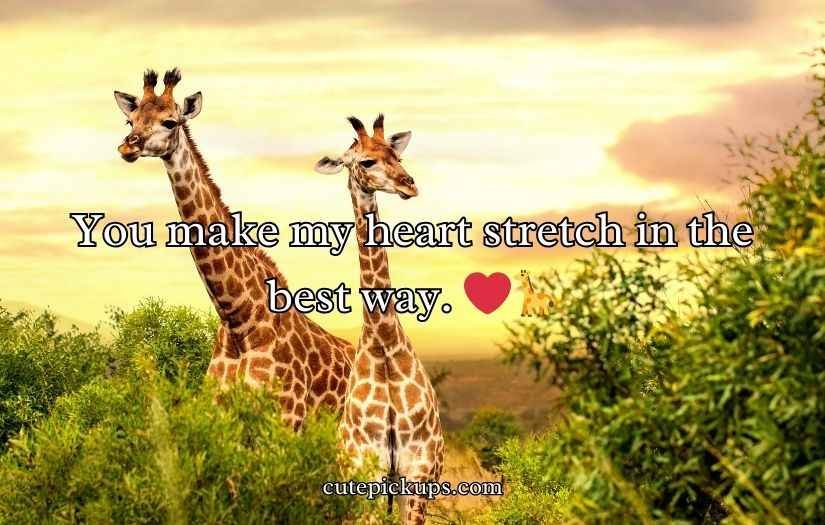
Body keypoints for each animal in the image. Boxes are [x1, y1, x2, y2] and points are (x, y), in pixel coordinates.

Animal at [113, 68, 354, 429]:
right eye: (131, 120)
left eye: (170, 121)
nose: (127, 146)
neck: (238, 320)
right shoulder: (220, 412)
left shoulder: (287, 417)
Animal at [314, 115, 444, 525]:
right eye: (366, 161)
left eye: (395, 154)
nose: (409, 184)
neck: (384, 344)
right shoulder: (365, 471)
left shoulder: (417, 471)